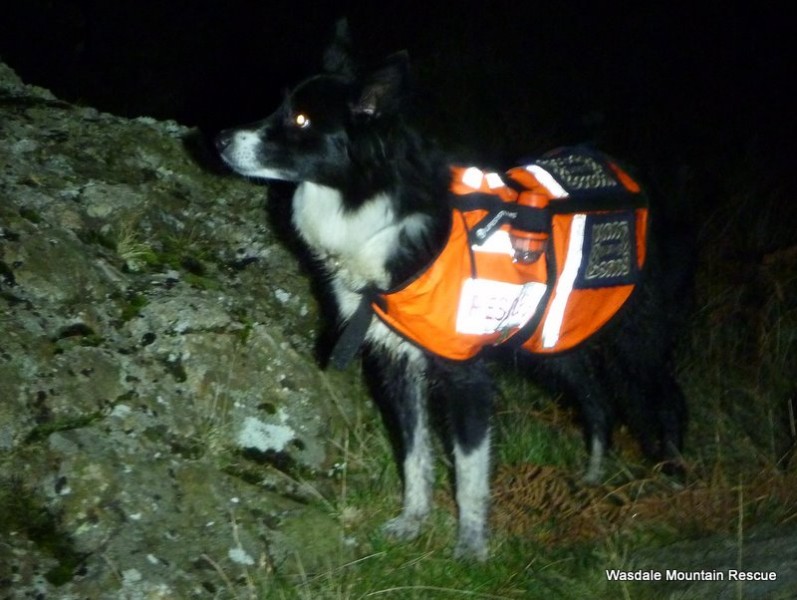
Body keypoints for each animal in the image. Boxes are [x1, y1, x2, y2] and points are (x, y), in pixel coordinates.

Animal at [215, 22, 688, 556]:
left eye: (299, 119)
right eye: (281, 107)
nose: (220, 139)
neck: (378, 207)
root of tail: (640, 185)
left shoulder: (465, 375)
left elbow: (468, 469)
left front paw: (471, 547)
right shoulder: (396, 361)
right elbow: (415, 455)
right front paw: (412, 522)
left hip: (634, 340)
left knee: (665, 398)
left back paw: (674, 475)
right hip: (551, 337)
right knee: (596, 398)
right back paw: (591, 476)